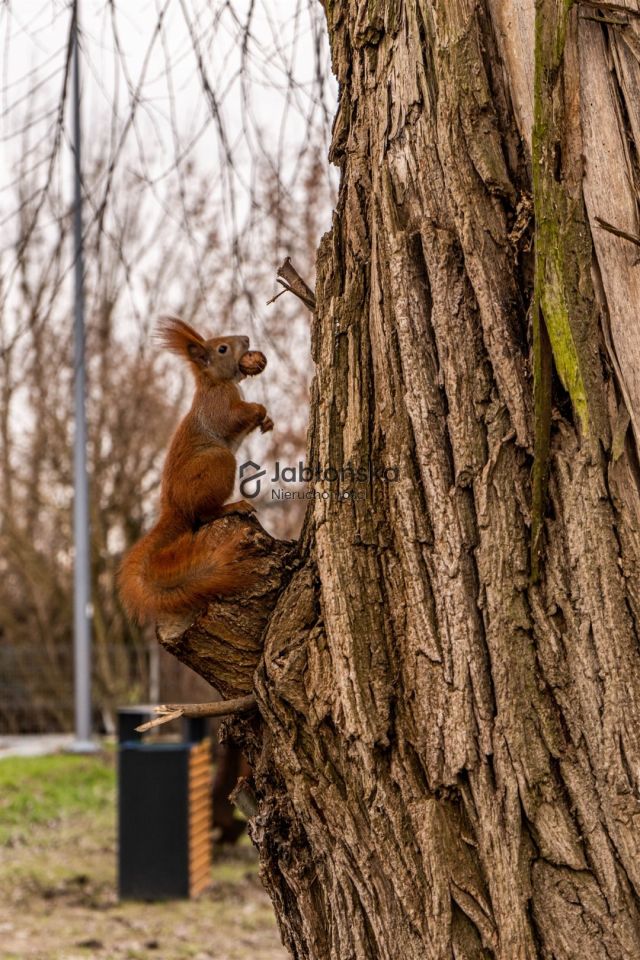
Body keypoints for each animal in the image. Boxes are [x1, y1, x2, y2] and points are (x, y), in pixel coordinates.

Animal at [120, 316, 272, 624]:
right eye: (223, 348)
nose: (246, 338)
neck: (216, 382)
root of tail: (174, 509)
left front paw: (268, 421)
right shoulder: (218, 407)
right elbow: (232, 419)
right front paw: (259, 409)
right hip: (218, 461)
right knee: (203, 514)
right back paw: (232, 506)